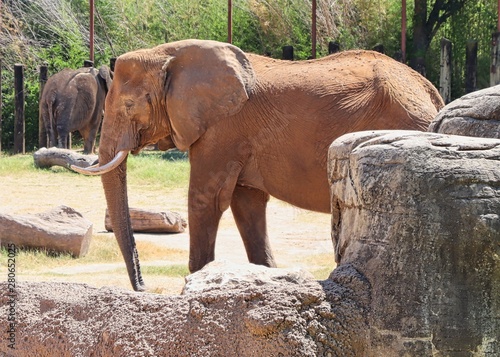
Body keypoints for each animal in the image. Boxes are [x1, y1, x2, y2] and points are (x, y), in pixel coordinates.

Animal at [72, 39, 444, 290]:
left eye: (129, 105)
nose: (142, 287)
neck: (171, 53)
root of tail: (431, 93)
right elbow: (246, 203)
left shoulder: (222, 128)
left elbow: (206, 199)